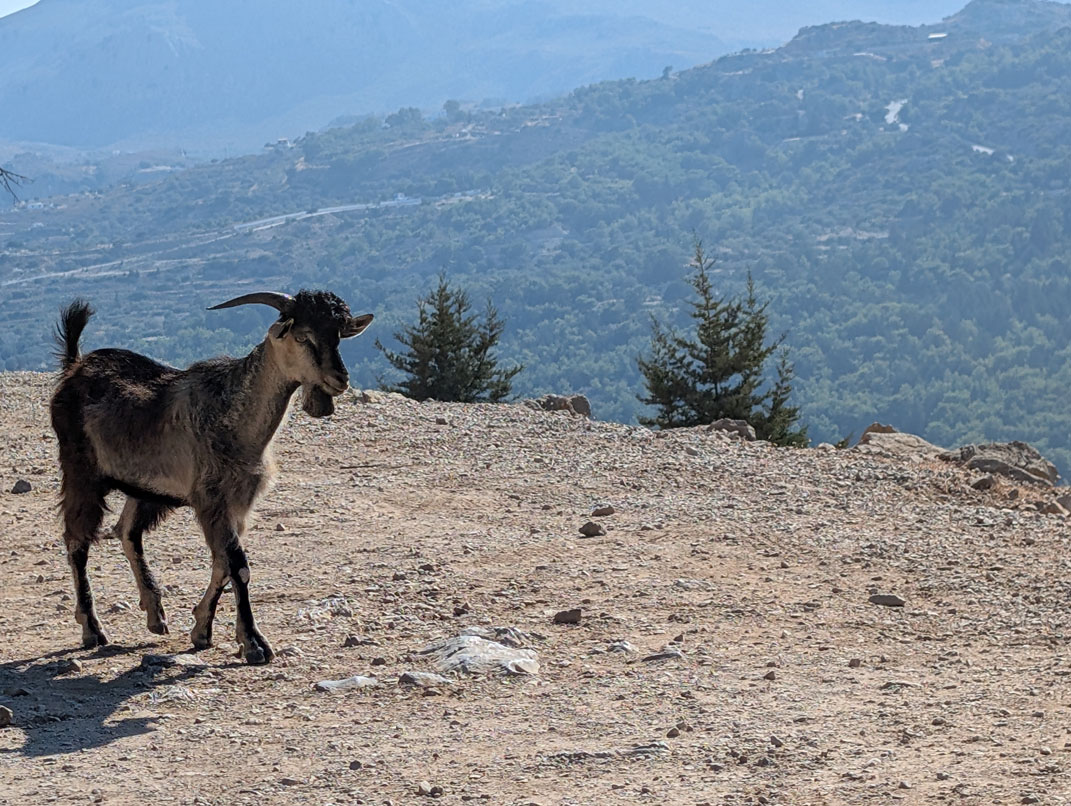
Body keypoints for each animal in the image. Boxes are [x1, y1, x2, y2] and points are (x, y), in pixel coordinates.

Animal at [49, 289, 373, 664]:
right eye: (303, 337)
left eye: (338, 336)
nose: (340, 379)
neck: (236, 420)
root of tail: (75, 367)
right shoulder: (211, 499)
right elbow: (237, 564)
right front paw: (253, 644)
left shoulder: (239, 502)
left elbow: (222, 562)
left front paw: (202, 630)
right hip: (81, 471)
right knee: (77, 540)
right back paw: (92, 628)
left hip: (147, 488)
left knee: (126, 530)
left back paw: (155, 615)